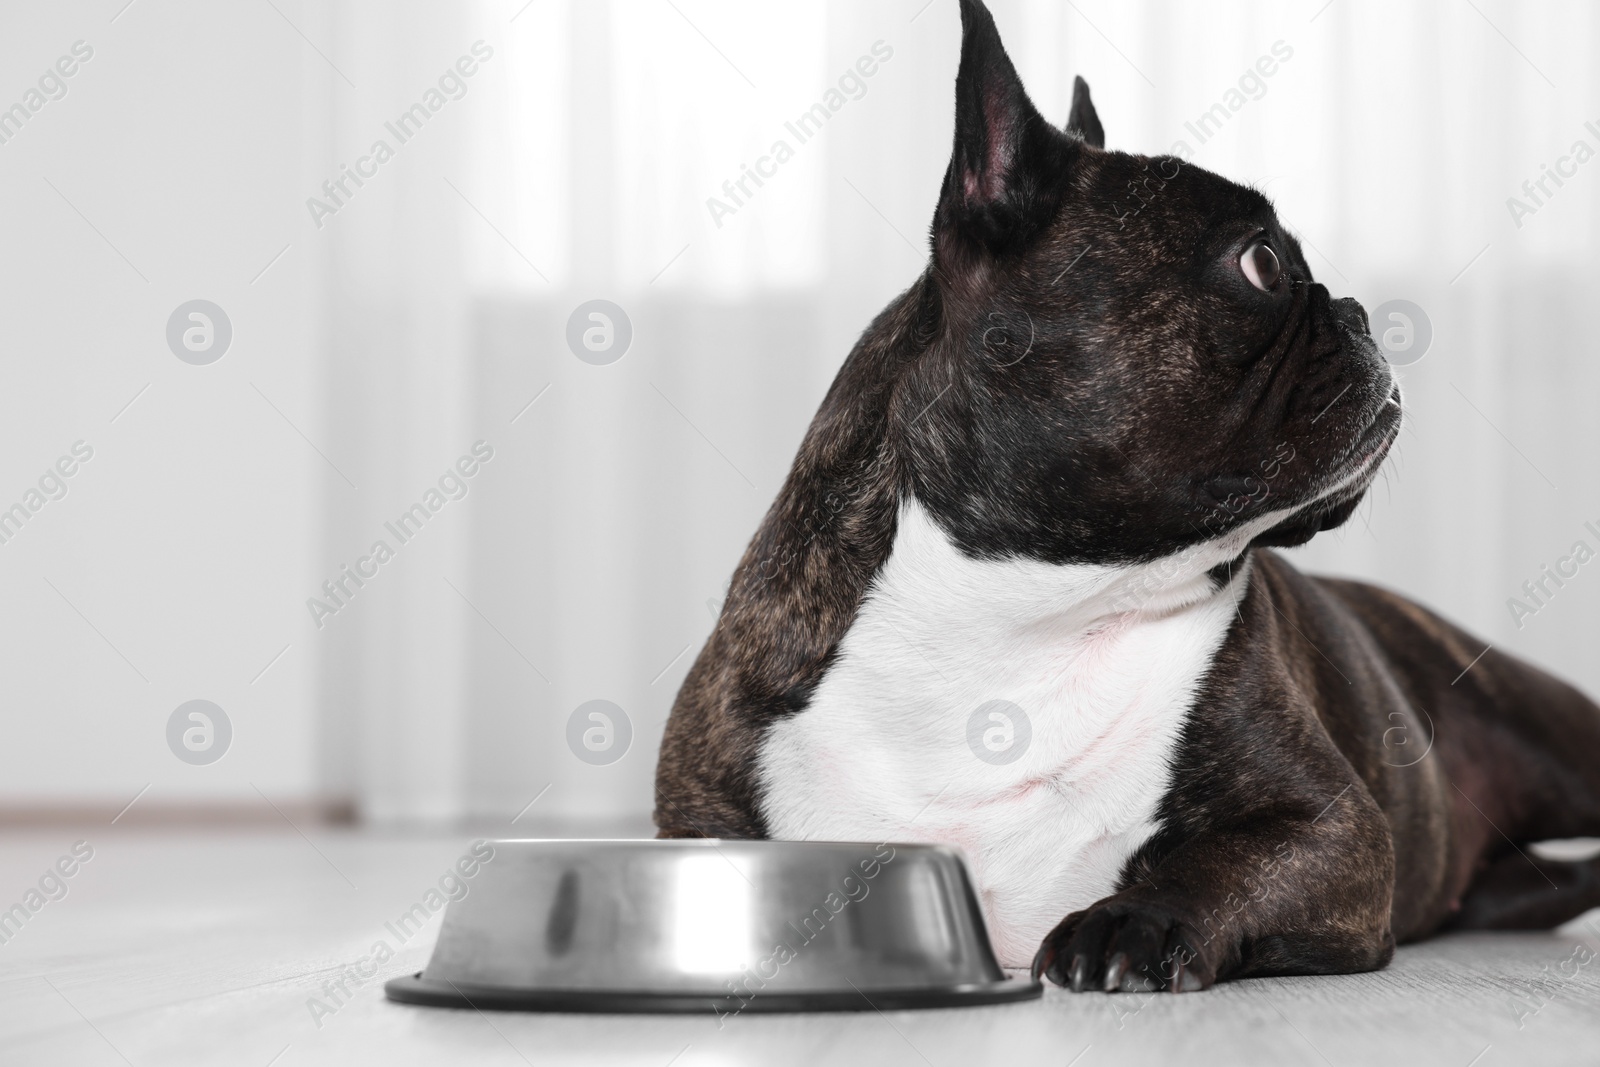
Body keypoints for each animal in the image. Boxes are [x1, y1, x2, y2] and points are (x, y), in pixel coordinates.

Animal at [652, 0, 1600, 991]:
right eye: (1263, 263)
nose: (1360, 312)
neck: (1025, 609)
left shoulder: (1330, 824)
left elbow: (1218, 860)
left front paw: (1131, 921)